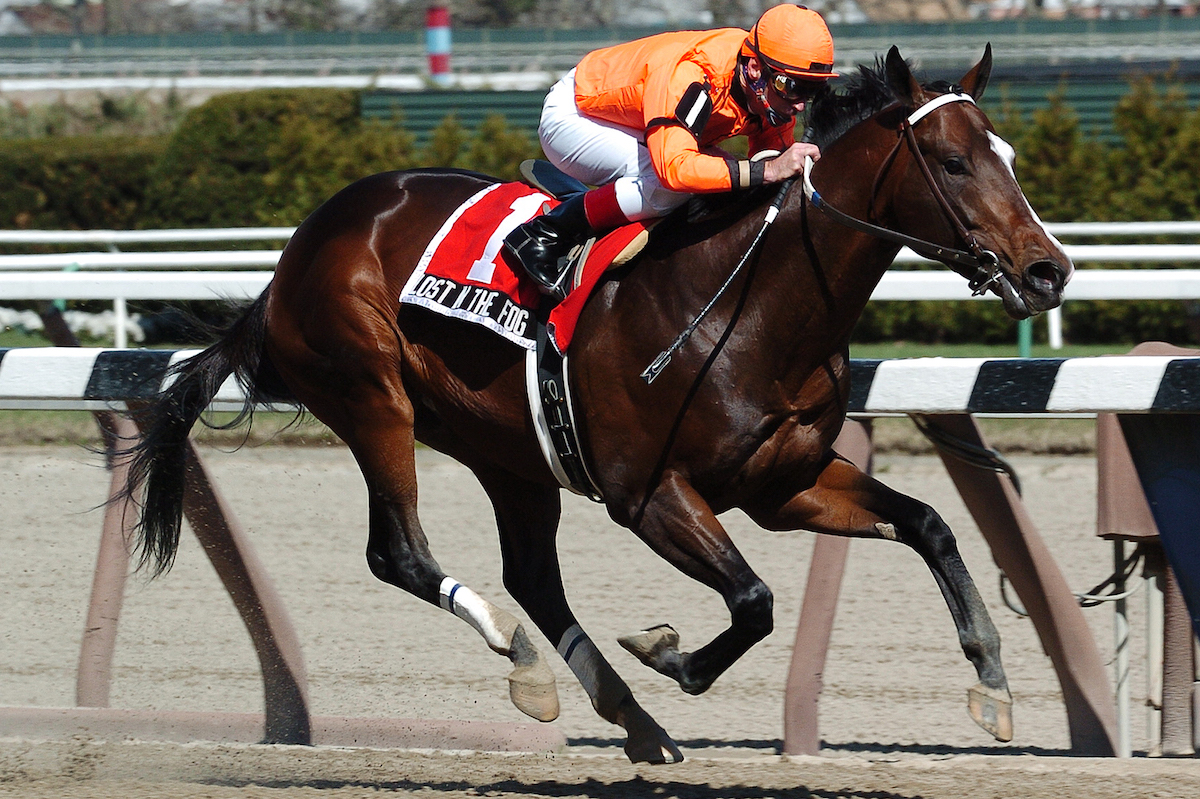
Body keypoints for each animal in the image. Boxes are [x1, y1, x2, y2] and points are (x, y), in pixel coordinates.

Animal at [129, 46, 1070, 763]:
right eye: (953, 161)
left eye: (1011, 157)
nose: (1046, 270)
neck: (751, 304)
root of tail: (294, 257)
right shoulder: (648, 495)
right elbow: (754, 599)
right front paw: (670, 652)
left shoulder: (784, 483)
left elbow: (930, 525)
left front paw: (992, 681)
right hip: (372, 400)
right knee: (399, 551)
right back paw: (523, 656)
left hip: (504, 449)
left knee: (532, 575)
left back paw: (627, 716)